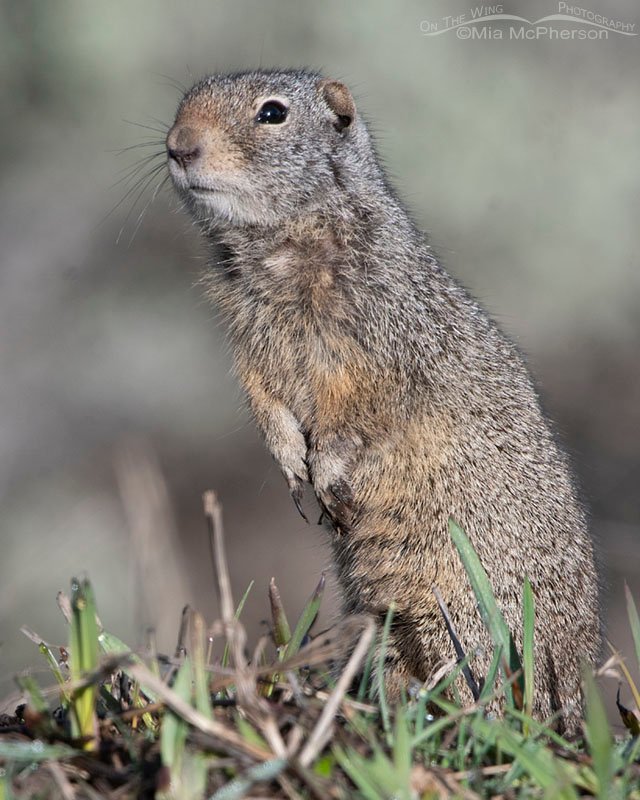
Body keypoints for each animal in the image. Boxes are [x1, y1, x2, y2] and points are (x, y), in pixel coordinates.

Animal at [165, 69, 601, 731]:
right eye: (183, 102)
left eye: (273, 113)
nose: (177, 146)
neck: (280, 248)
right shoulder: (252, 346)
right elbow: (266, 403)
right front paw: (291, 463)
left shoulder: (379, 347)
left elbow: (357, 413)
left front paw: (327, 475)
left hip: (459, 620)